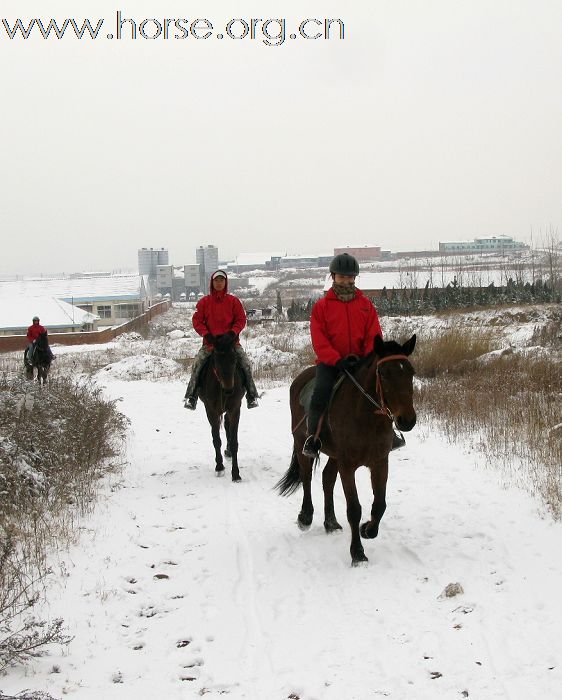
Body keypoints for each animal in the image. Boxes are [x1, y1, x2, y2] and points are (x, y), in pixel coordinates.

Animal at [197, 334, 245, 482]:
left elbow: (234, 441)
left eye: (234, 359)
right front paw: (219, 467)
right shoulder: (211, 410)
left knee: (228, 425)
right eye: (216, 361)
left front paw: (236, 474)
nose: (229, 390)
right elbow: (216, 440)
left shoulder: (235, 408)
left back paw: (228, 451)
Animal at [276, 332, 416, 564]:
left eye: (411, 372)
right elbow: (354, 509)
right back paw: (305, 517)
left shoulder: (380, 462)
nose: (407, 421)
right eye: (384, 373)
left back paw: (331, 523)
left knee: (327, 478)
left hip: (334, 455)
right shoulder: (348, 466)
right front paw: (357, 553)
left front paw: (367, 530)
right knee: (307, 477)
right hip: (302, 443)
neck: (366, 418)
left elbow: (380, 504)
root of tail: (300, 378)